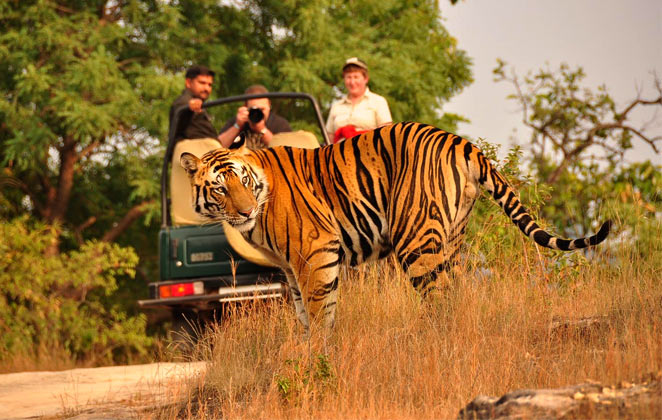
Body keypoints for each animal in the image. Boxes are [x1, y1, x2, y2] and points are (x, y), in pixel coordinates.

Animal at [180, 122, 611, 333]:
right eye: (220, 188)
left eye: (243, 181)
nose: (245, 211)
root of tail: (461, 141)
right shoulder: (291, 268)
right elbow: (305, 314)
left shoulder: (315, 254)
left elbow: (320, 314)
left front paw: (318, 359)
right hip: (452, 239)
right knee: (458, 294)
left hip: (416, 240)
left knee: (440, 299)